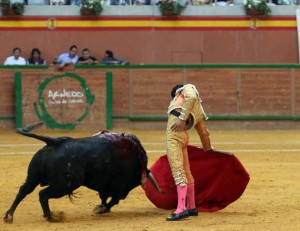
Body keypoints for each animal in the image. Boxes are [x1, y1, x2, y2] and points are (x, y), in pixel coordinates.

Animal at [2, 122, 162, 223]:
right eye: (133, 183)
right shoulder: (118, 184)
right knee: (43, 194)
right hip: (65, 184)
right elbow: (112, 199)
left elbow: (104, 197)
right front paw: (101, 209)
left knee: (23, 191)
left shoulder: (105, 185)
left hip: (33, 177)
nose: (124, 195)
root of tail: (56, 142)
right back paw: (50, 217)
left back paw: (9, 216)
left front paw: (101, 207)